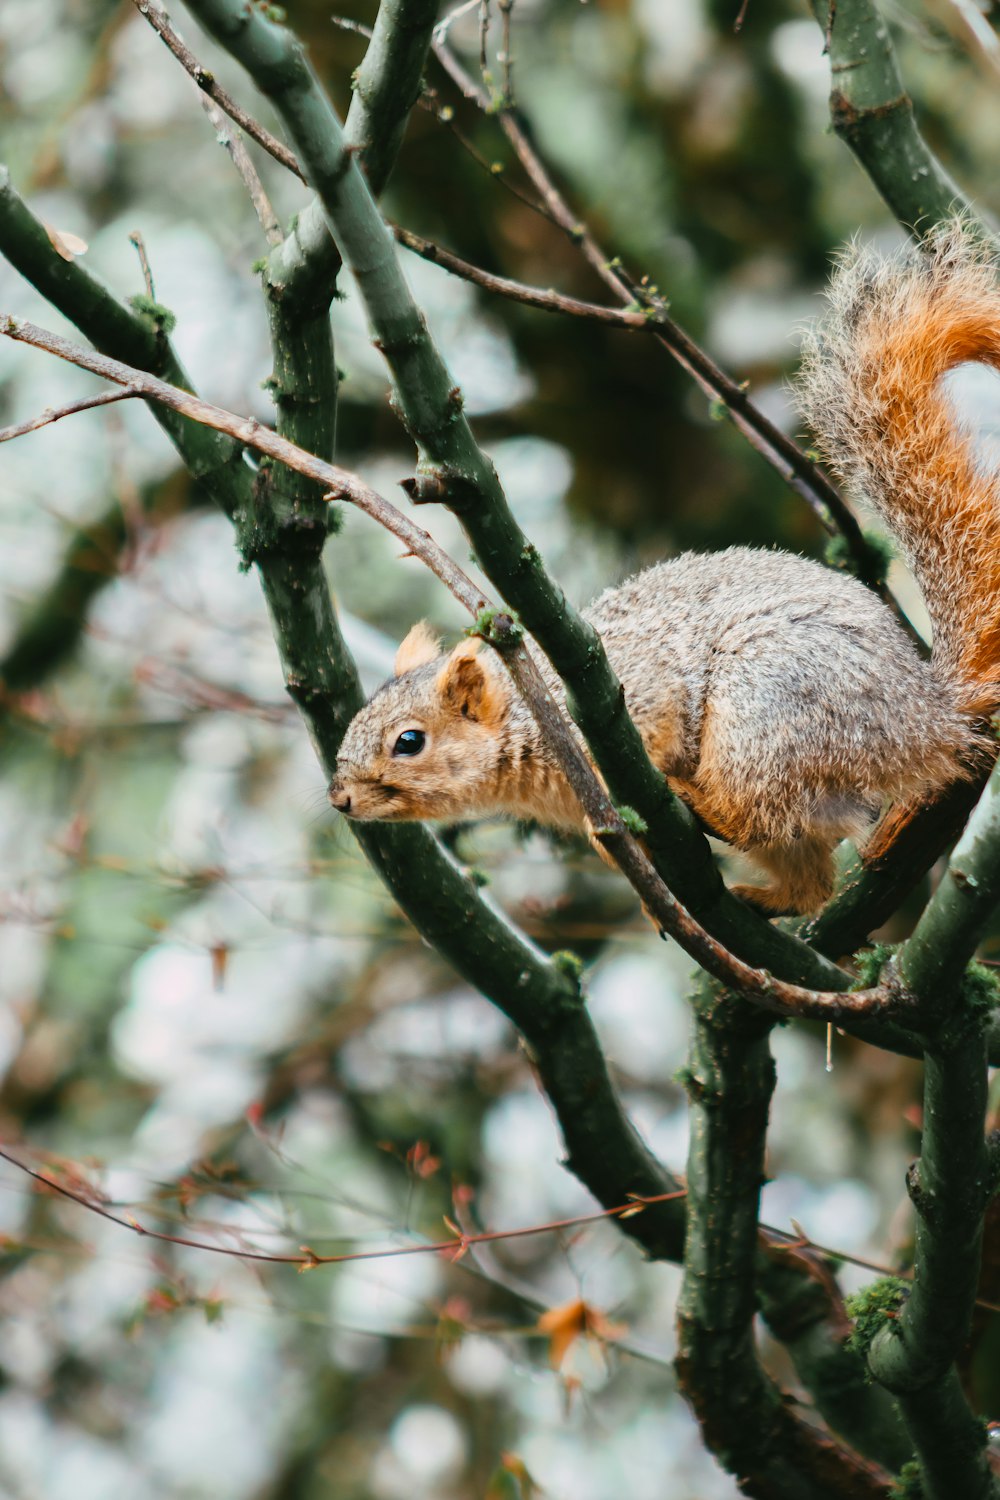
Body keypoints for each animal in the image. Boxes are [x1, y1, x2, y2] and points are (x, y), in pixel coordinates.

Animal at [328, 223, 1000, 918]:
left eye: (409, 741)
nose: (340, 798)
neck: (527, 715)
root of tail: (926, 718)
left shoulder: (639, 692)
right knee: (807, 881)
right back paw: (754, 897)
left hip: (769, 709)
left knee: (756, 815)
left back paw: (698, 802)